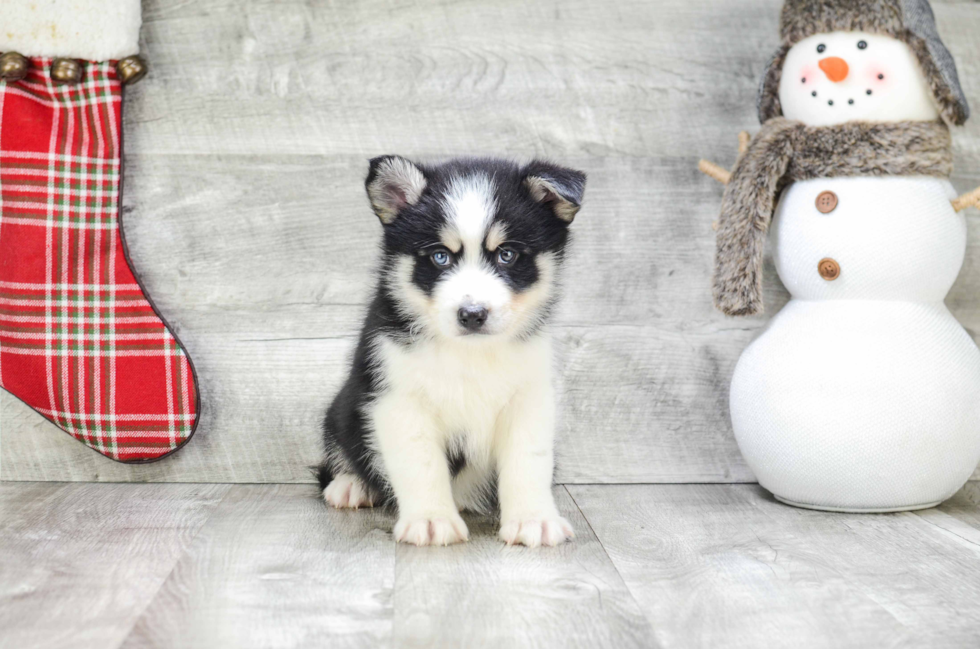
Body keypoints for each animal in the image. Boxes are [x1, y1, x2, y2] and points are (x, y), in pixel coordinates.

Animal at [318, 154, 584, 544]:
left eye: (507, 254)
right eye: (441, 257)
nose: (472, 314)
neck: (469, 354)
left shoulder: (529, 397)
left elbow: (528, 461)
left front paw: (534, 519)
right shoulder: (398, 398)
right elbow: (421, 463)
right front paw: (431, 519)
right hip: (341, 408)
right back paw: (350, 485)